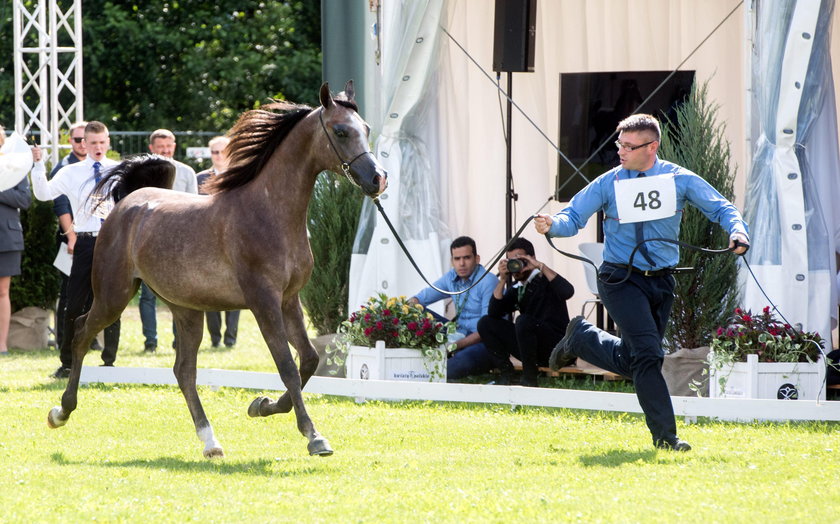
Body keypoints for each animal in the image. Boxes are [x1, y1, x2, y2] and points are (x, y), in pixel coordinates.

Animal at [46, 82, 388, 458]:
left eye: (366, 128)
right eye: (341, 131)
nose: (378, 179)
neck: (269, 212)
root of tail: (128, 203)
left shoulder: (288, 300)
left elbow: (309, 360)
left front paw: (261, 405)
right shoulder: (264, 302)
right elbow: (287, 366)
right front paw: (314, 436)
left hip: (186, 309)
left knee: (184, 370)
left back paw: (210, 441)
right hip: (113, 295)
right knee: (81, 331)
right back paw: (61, 411)